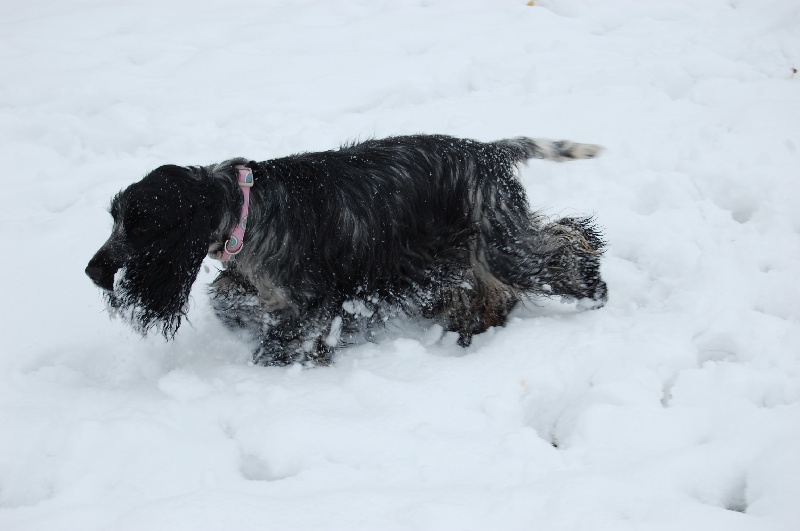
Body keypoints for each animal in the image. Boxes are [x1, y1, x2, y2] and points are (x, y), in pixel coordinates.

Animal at [86, 135, 607, 365]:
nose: (93, 271)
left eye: (139, 226)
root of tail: (490, 151)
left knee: (565, 248)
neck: (245, 206)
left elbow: (281, 337)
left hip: (501, 246)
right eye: (114, 218)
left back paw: (594, 290)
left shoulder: (310, 299)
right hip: (474, 252)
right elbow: (229, 302)